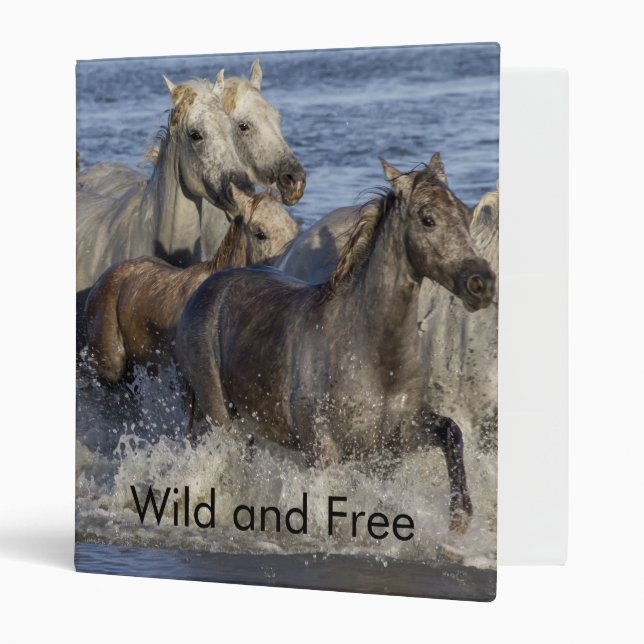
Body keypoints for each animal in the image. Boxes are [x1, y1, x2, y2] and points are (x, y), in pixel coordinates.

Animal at [175, 155, 496, 533]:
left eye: (463, 212)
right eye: (427, 218)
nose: (481, 282)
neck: (373, 356)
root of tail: (208, 286)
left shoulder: (395, 442)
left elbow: (451, 432)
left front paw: (460, 516)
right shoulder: (323, 451)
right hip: (219, 416)